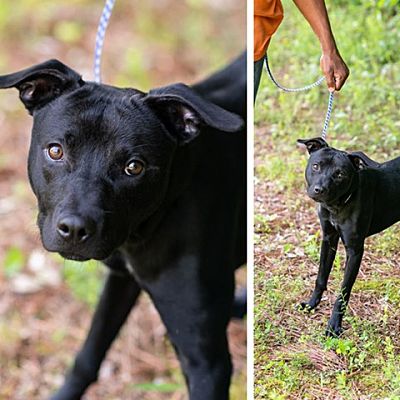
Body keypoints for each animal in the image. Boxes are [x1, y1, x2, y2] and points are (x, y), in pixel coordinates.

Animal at [0, 54, 245, 400]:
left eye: (134, 167)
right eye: (56, 150)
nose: (74, 229)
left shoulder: (206, 361)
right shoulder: (122, 279)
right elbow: (89, 353)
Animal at [296, 138, 388, 338]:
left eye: (340, 174)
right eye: (316, 166)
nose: (319, 190)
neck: (337, 206)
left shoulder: (355, 251)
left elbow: (343, 292)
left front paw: (333, 326)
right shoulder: (329, 239)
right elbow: (321, 277)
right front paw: (311, 305)